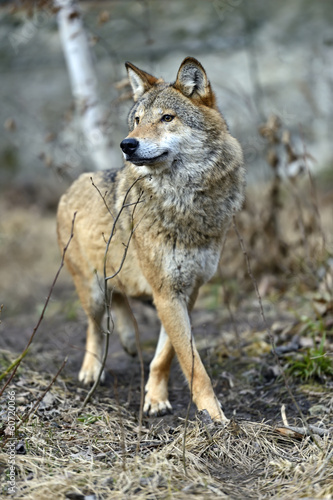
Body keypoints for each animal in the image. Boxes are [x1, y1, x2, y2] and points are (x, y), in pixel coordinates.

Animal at [56, 56, 244, 420]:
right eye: (137, 120)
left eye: (167, 118)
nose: (126, 144)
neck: (185, 201)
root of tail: (73, 184)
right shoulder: (165, 291)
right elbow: (193, 364)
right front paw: (214, 416)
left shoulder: (187, 290)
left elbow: (167, 353)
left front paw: (155, 397)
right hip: (91, 289)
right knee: (95, 326)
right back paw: (91, 369)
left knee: (120, 299)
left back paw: (129, 339)